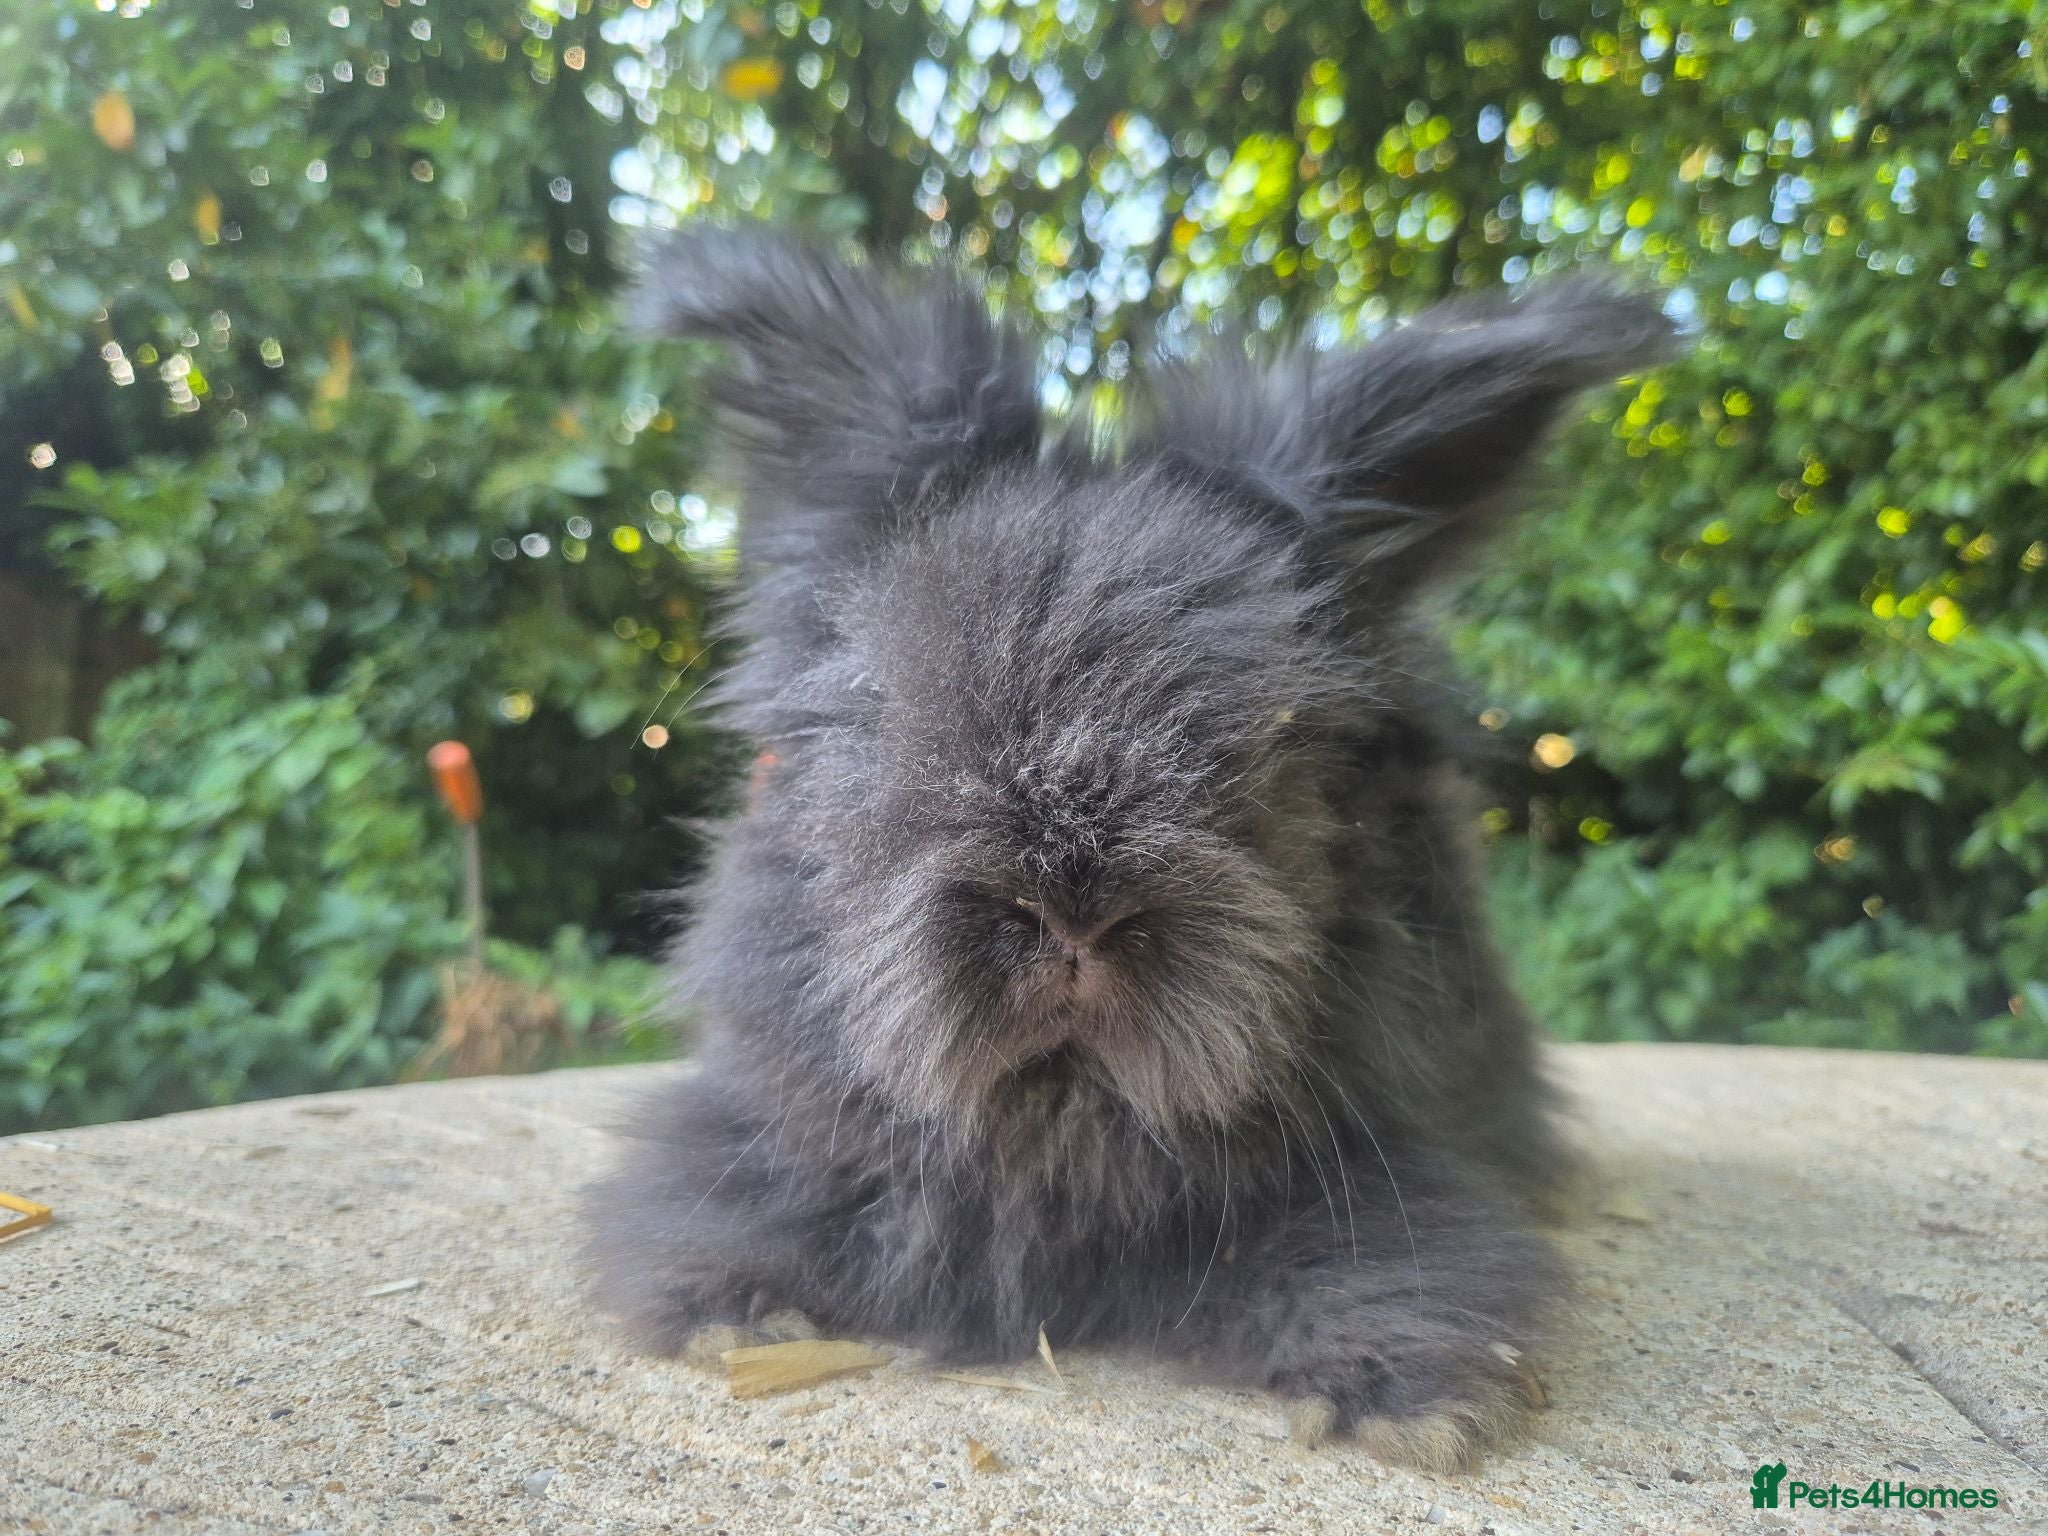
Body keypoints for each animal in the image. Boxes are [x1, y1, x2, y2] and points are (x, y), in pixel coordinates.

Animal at [587, 227, 1673, 1471]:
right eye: (880, 709)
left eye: (1282, 742)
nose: (1071, 912)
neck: (1062, 1129)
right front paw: (735, 1317)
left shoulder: (1394, 1164)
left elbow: (1383, 1253)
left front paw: (1409, 1401)